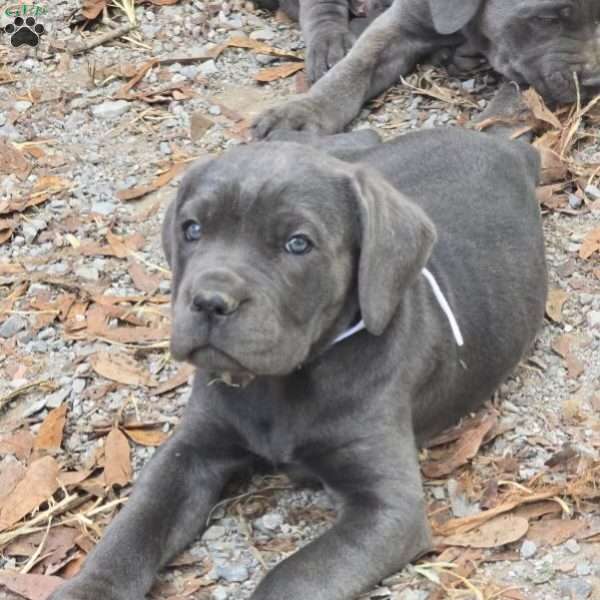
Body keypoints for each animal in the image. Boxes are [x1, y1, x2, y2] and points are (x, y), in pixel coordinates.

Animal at [253, 0, 600, 137]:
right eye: (547, 19)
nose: (596, 80)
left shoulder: (532, 67)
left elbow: (512, 100)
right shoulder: (400, 24)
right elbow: (354, 68)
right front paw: (304, 109)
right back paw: (329, 42)